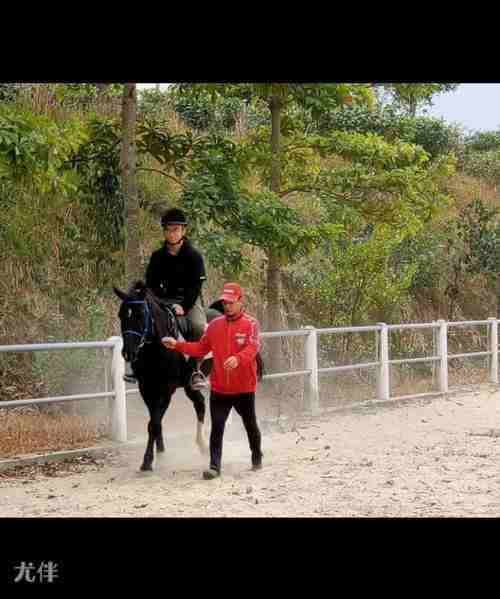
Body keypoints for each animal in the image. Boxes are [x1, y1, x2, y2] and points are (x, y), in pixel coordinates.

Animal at [115, 282, 221, 474]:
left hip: (191, 382)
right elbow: (155, 422)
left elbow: (154, 424)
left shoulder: (165, 390)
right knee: (199, 403)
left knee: (200, 404)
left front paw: (148, 461)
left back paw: (203, 445)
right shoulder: (147, 389)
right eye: (121, 315)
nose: (128, 353)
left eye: (140, 315)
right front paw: (159, 454)